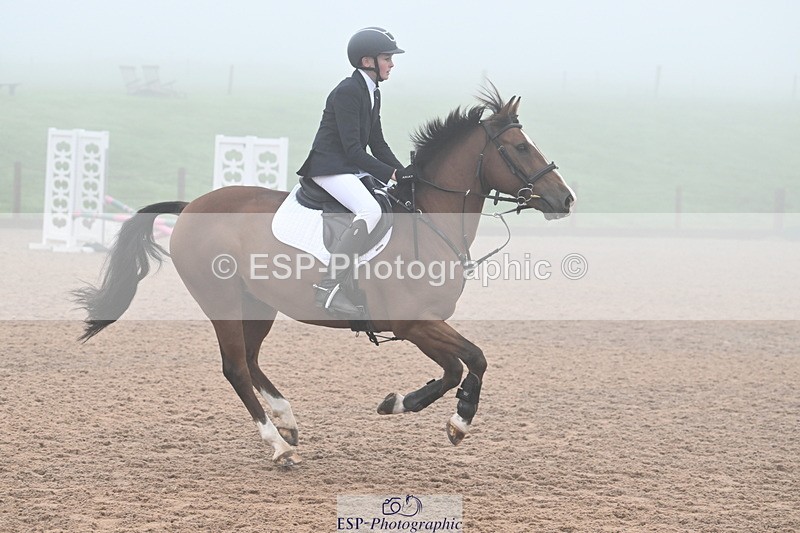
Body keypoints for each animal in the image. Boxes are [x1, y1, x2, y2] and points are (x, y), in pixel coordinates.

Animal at [74, 84, 575, 467]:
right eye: (520, 148)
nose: (565, 199)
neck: (429, 219)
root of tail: (191, 205)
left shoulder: (422, 324)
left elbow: (461, 365)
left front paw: (404, 404)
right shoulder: (413, 323)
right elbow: (469, 360)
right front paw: (453, 420)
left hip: (258, 303)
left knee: (251, 361)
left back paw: (287, 421)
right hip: (223, 301)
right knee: (235, 367)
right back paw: (277, 446)